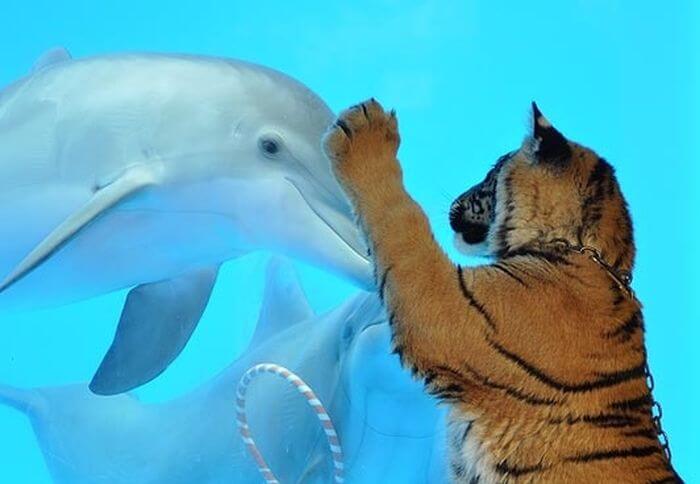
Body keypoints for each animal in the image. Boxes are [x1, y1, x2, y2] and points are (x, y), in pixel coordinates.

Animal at [322, 99, 681, 483]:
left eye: (492, 170)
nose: (457, 199)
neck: (590, 252)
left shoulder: (448, 303)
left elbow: (402, 221)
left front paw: (366, 130)